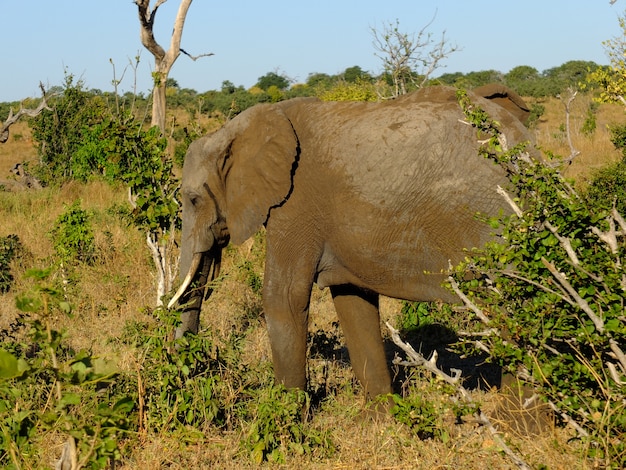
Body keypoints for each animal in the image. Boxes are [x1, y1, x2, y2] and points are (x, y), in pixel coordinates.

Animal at [167, 84, 532, 400]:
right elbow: (352, 299)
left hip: (499, 220)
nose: (188, 373)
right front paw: (381, 419)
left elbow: (282, 298)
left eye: (193, 200)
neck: (236, 130)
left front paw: (290, 422)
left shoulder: (296, 203)